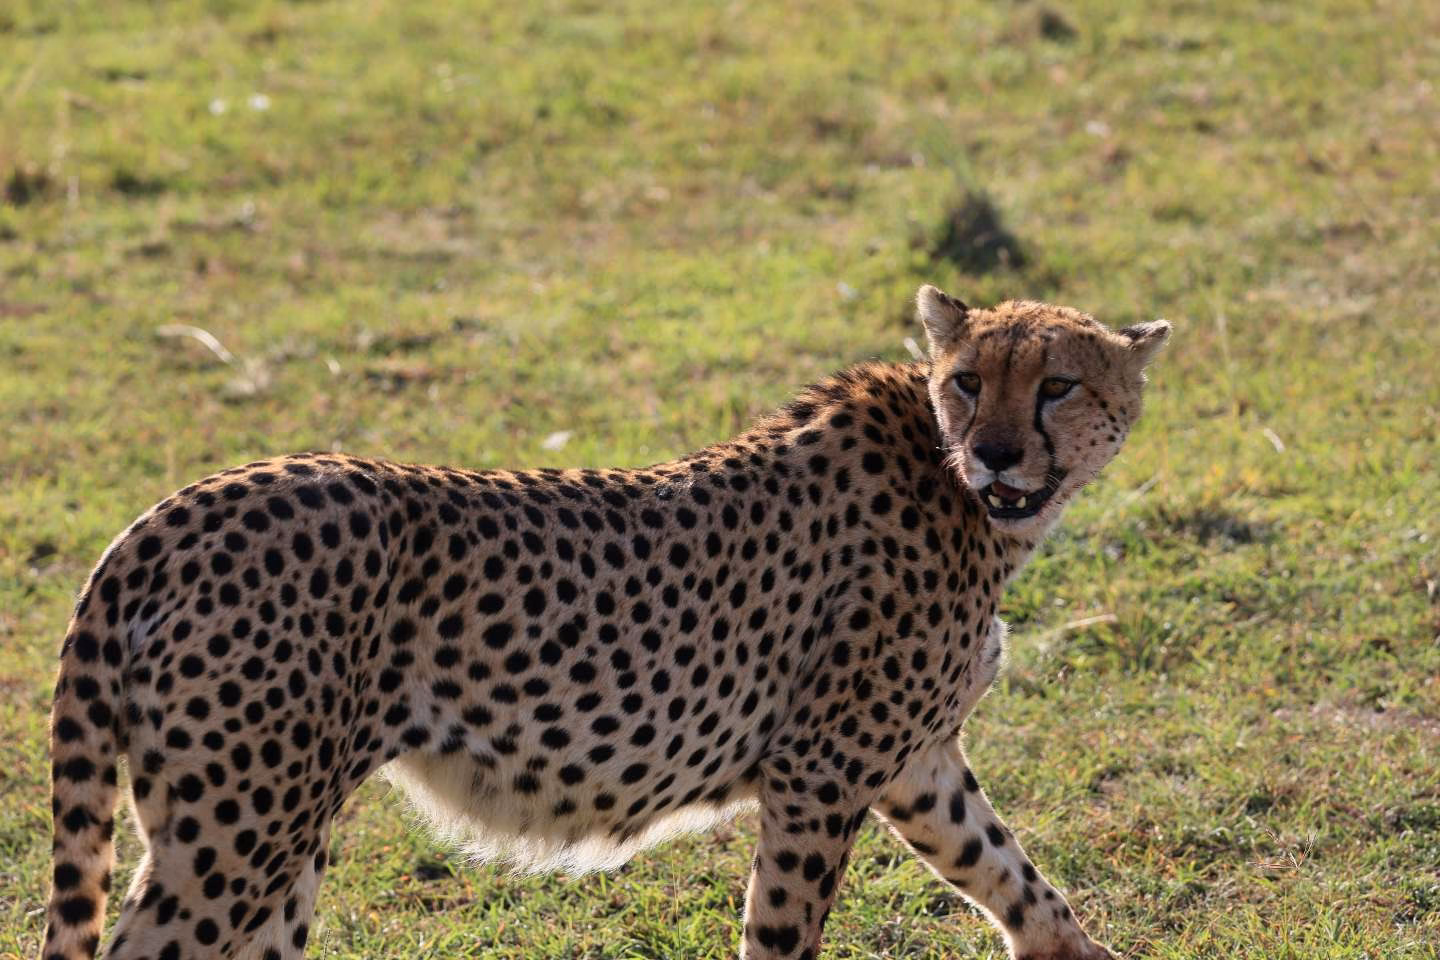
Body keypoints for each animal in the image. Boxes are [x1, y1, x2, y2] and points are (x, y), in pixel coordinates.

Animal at [39, 284, 1170, 960]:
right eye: (969, 380)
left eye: (1057, 385)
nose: (996, 453)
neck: (958, 490)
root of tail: (177, 508)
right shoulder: (821, 769)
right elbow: (785, 928)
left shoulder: (914, 763)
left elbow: (1015, 875)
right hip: (240, 830)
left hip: (272, 833)